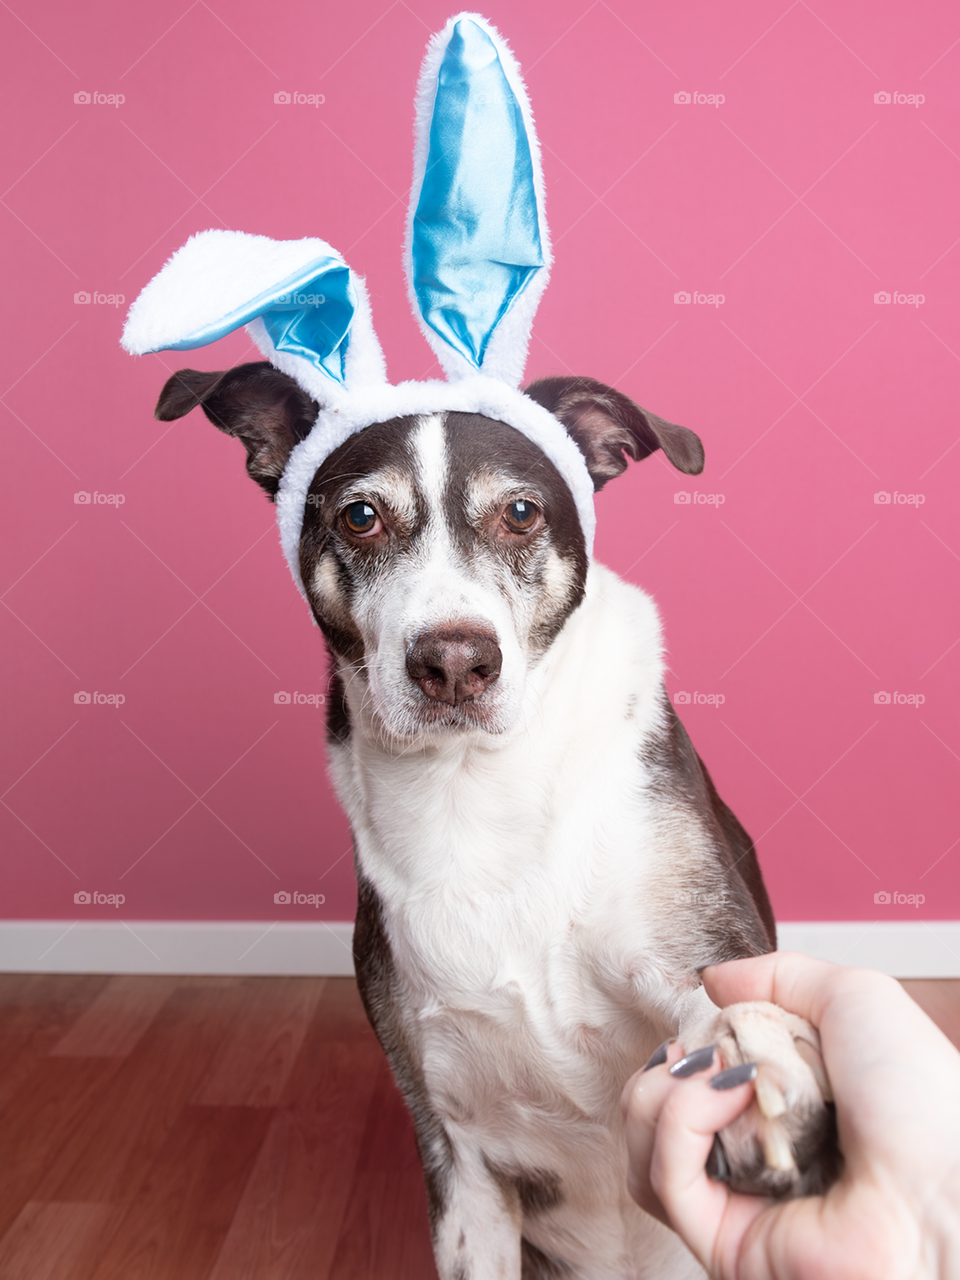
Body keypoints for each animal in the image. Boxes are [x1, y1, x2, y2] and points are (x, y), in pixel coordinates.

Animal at [154, 360, 839, 1280]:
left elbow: (729, 1003)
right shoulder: (456, 1157)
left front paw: (757, 1067)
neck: (479, 789)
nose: (454, 662)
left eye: (521, 512)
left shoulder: (691, 946)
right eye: (361, 515)